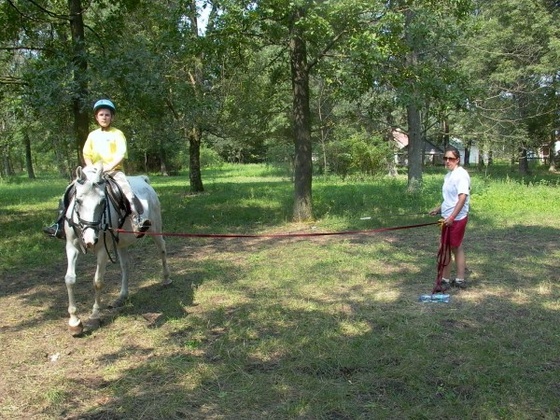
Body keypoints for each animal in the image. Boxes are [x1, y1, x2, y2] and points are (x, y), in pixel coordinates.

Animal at [63, 162, 171, 336]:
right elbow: (70, 279)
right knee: (125, 266)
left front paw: (94, 316)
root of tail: (144, 180)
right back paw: (122, 296)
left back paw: (166, 279)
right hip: (121, 243)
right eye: (78, 201)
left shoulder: (102, 250)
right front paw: (74, 322)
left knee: (162, 249)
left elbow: (98, 281)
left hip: (155, 228)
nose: (90, 240)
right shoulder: (71, 246)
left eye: (102, 202)